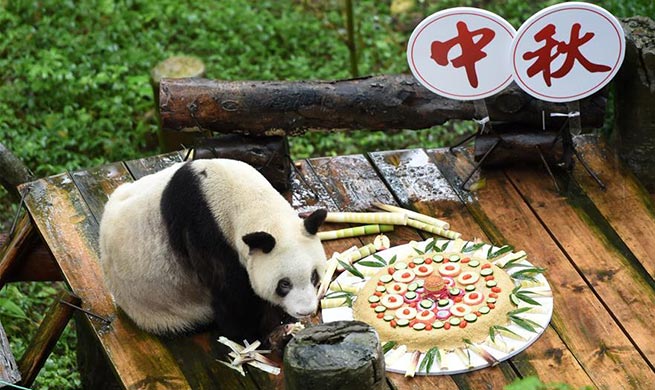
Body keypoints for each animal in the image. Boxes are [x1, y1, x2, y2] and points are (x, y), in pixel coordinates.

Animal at [98, 158, 328, 342]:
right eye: (284, 284)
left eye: (314, 276)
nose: (305, 310)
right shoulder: (204, 231)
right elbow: (230, 294)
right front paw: (252, 331)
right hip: (161, 307)